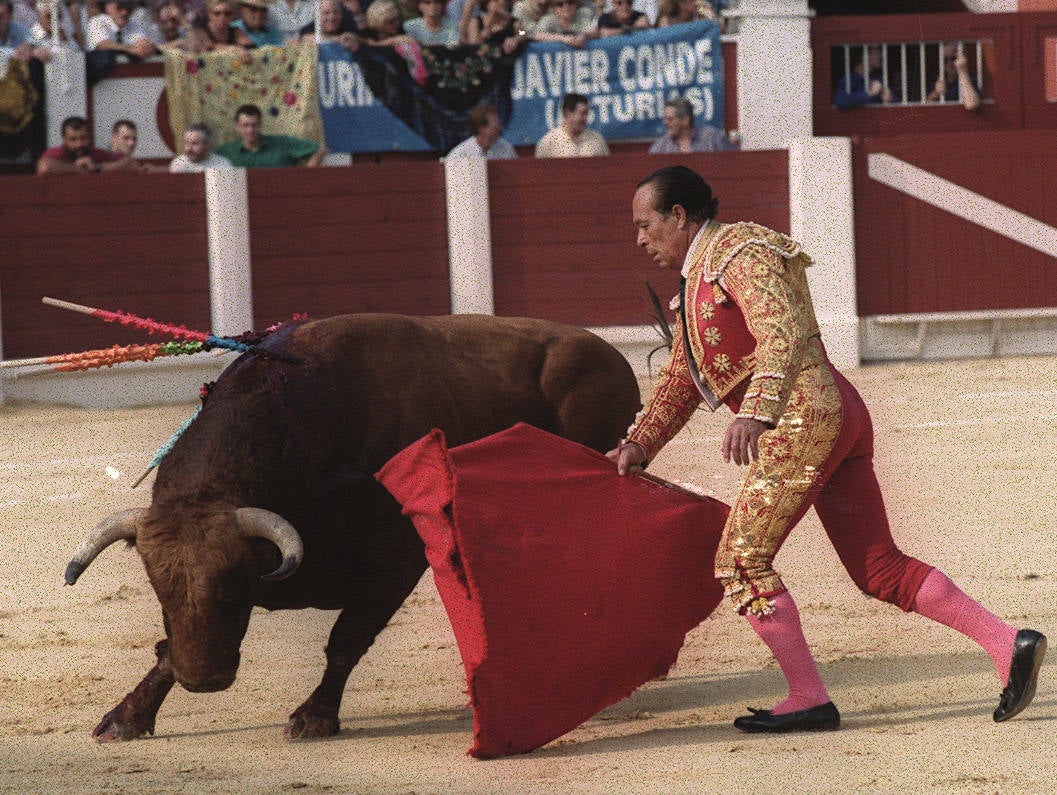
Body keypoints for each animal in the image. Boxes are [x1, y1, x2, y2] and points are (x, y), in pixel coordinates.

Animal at [68, 312, 642, 744]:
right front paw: (126, 717)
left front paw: (314, 717)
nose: (203, 680)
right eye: (158, 589)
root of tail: (609, 355)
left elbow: (346, 639)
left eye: (233, 587)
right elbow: (167, 648)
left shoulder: (394, 564)